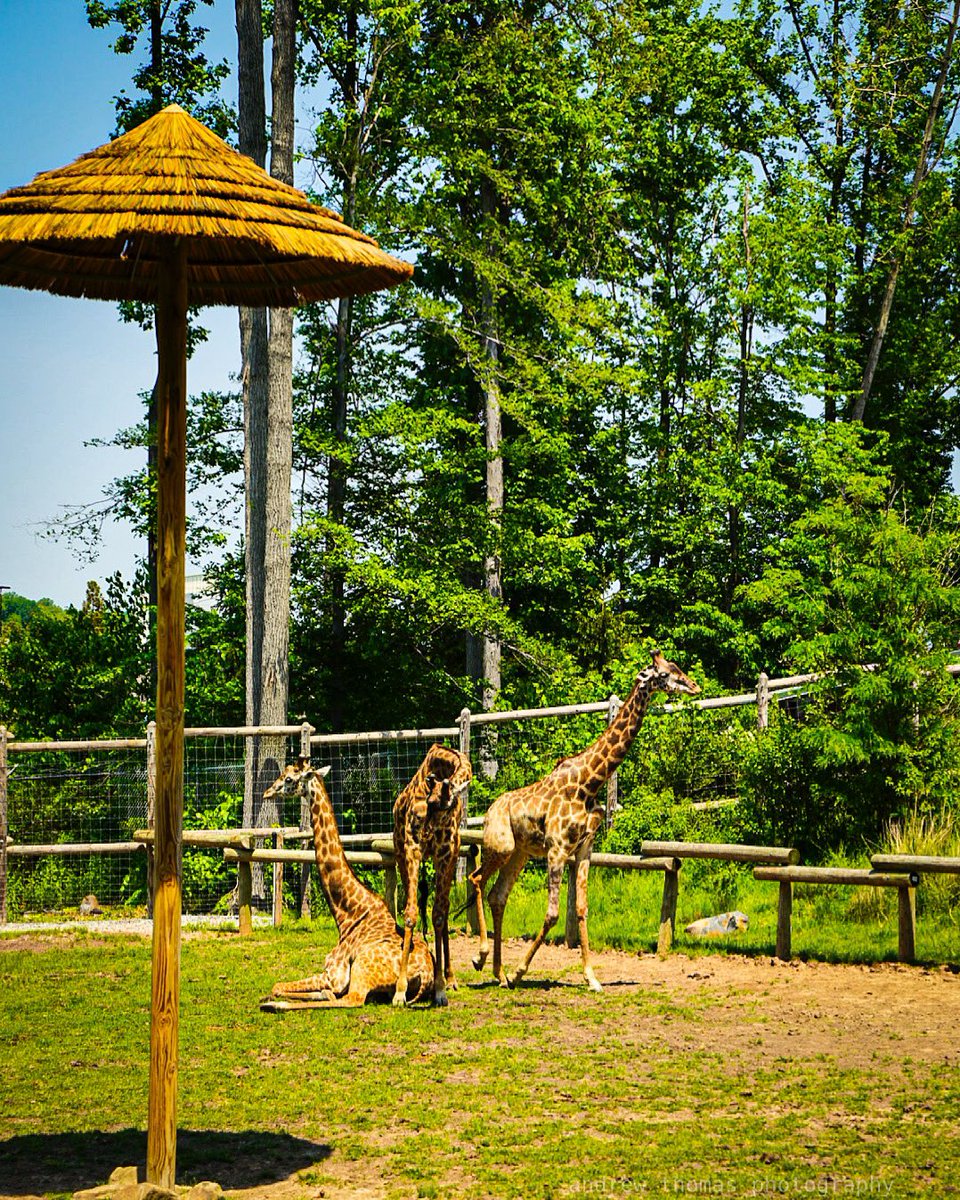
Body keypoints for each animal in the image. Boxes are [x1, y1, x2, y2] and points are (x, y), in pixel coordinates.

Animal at [260, 758, 434, 1010]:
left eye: (289, 778)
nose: (267, 792)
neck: (347, 913)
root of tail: (427, 974)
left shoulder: (334, 974)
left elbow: (278, 985)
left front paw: (272, 1000)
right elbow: (311, 992)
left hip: (362, 966)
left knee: (353, 1000)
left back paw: (276, 1006)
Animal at [392, 743, 473, 1007]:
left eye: (446, 807)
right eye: (431, 801)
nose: (428, 831)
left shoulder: (445, 853)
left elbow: (438, 915)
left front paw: (440, 990)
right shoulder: (412, 848)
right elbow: (410, 914)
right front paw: (400, 991)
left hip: (450, 855)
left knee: (444, 909)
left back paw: (451, 978)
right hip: (400, 852)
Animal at [468, 650, 700, 992]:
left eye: (677, 668)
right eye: (664, 673)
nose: (694, 686)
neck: (588, 784)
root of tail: (489, 811)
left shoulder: (583, 848)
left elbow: (581, 908)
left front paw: (592, 978)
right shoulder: (556, 848)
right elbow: (552, 913)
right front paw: (521, 970)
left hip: (520, 854)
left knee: (498, 896)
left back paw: (499, 973)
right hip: (500, 846)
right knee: (476, 880)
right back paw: (482, 959)